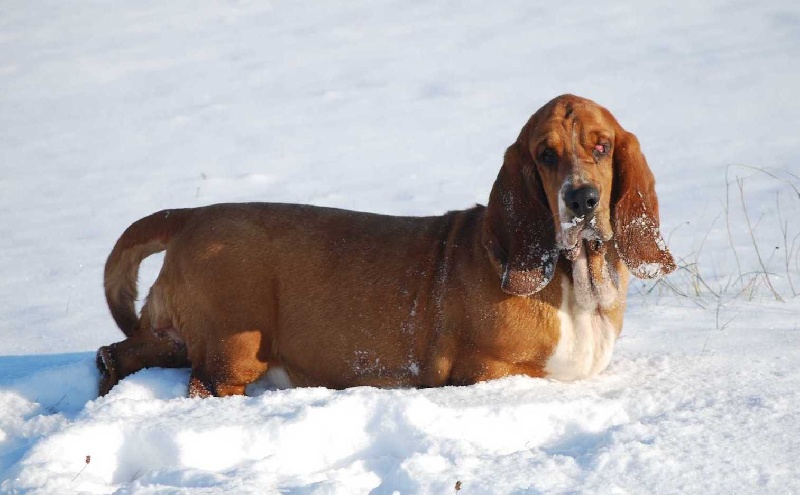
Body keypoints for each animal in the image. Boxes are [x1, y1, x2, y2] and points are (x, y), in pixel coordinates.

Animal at [96, 94, 675, 397]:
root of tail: (194, 216)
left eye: (602, 147)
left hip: (175, 337)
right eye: (545, 155)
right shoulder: (483, 372)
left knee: (115, 354)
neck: (575, 277)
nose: (581, 200)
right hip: (235, 348)